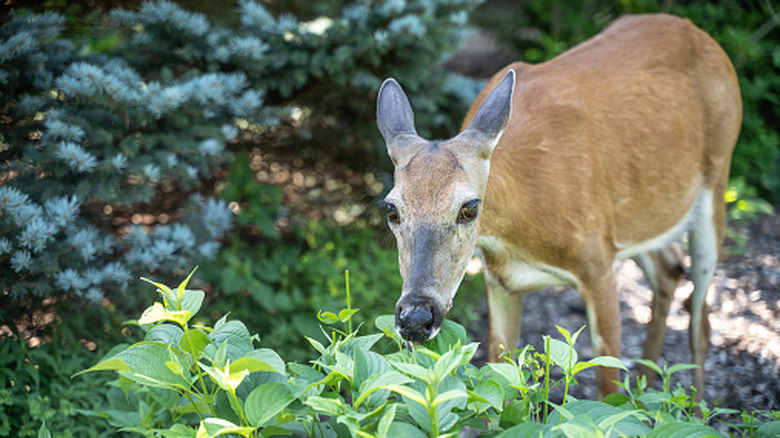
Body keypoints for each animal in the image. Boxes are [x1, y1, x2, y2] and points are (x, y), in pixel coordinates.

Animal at [376, 13, 741, 400]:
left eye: (469, 208)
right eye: (391, 209)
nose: (416, 317)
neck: (521, 229)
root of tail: (702, 36)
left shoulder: (598, 265)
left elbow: (608, 390)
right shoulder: (499, 280)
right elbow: (499, 379)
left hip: (717, 182)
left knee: (701, 321)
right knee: (669, 269)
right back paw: (647, 391)